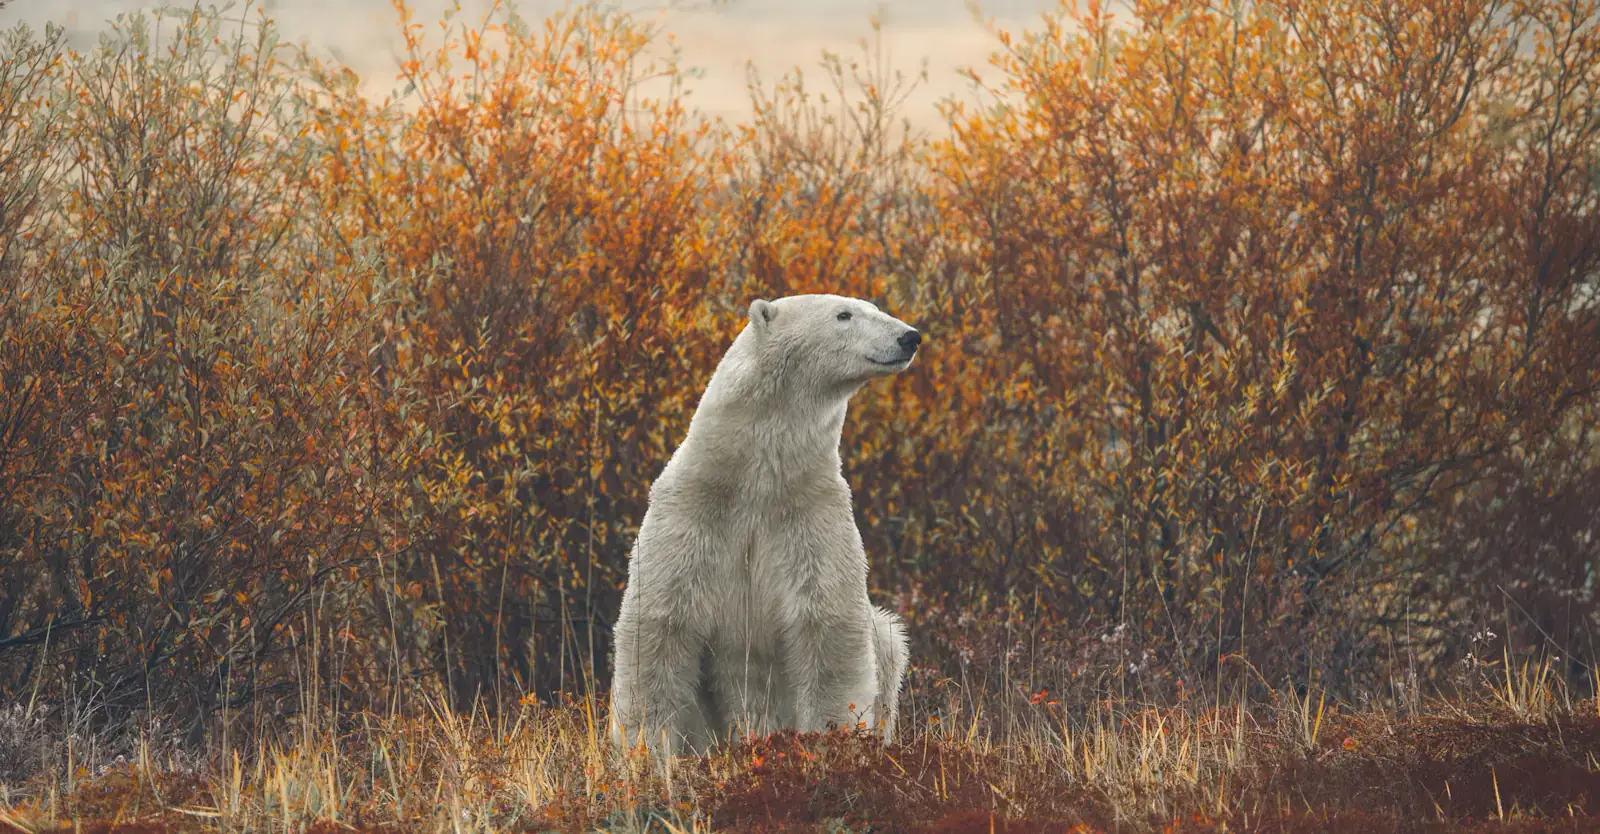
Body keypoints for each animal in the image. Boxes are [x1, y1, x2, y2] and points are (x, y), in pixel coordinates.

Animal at [608, 293, 920, 759]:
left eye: (875, 307)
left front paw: (829, 745)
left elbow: (829, 629)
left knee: (886, 639)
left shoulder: (811, 516)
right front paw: (648, 752)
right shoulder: (691, 513)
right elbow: (660, 627)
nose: (909, 337)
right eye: (844, 314)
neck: (755, 477)